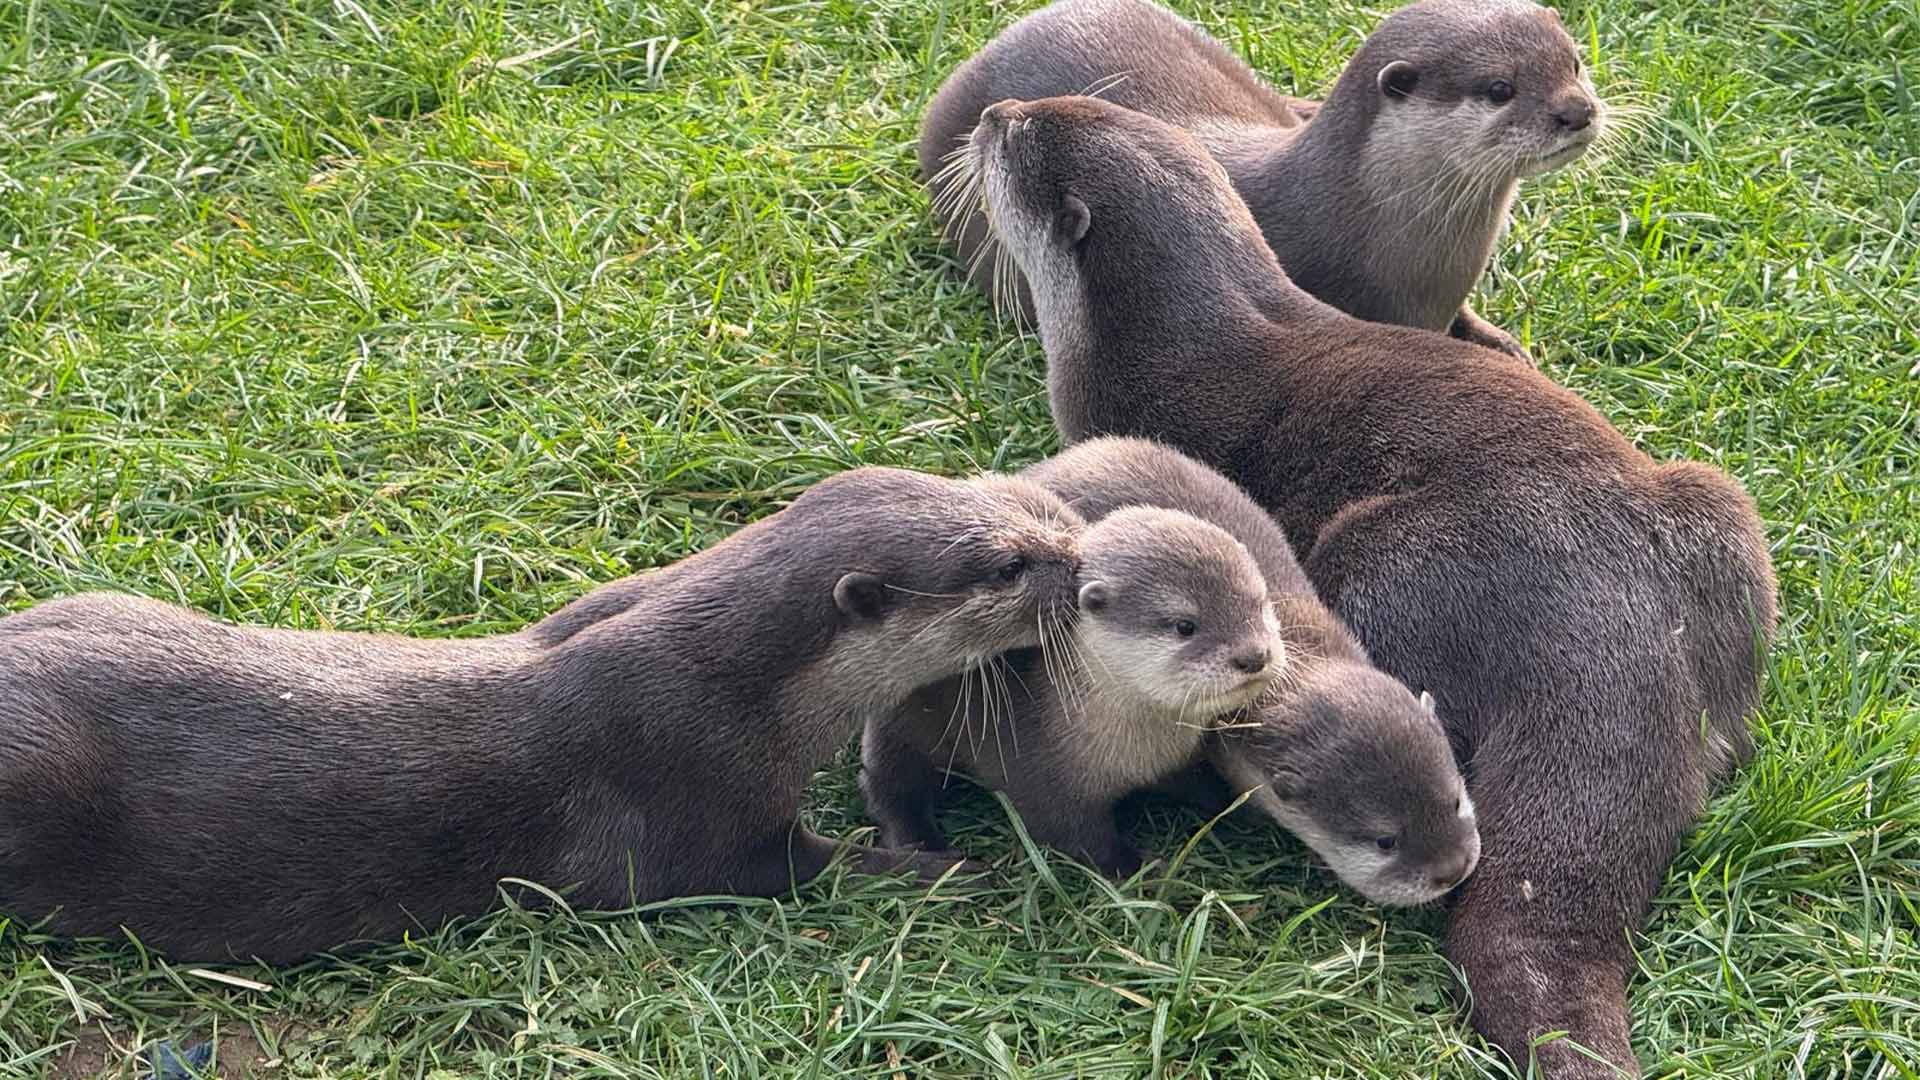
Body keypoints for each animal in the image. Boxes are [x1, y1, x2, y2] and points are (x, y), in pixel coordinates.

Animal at [0, 466, 1082, 953]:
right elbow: (789, 871)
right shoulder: (688, 797)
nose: (1082, 561)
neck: (738, 691)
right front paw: (939, 869)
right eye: (1006, 566)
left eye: (1012, 498)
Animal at [975, 96, 1781, 1068]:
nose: (994, 112)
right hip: (1716, 508)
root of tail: (1607, 632)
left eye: (1017, 142)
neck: (1162, 337)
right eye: (1067, 107)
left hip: (1375, 559)